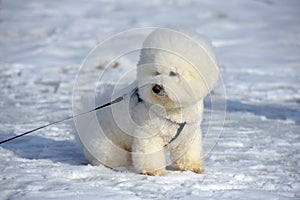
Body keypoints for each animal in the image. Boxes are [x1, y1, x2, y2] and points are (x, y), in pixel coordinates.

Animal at [76, 28, 219, 175]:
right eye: (156, 72)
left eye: (173, 73)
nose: (156, 88)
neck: (171, 109)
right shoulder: (148, 133)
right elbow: (149, 154)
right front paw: (152, 171)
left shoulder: (189, 134)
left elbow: (189, 153)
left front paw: (193, 167)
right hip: (110, 149)